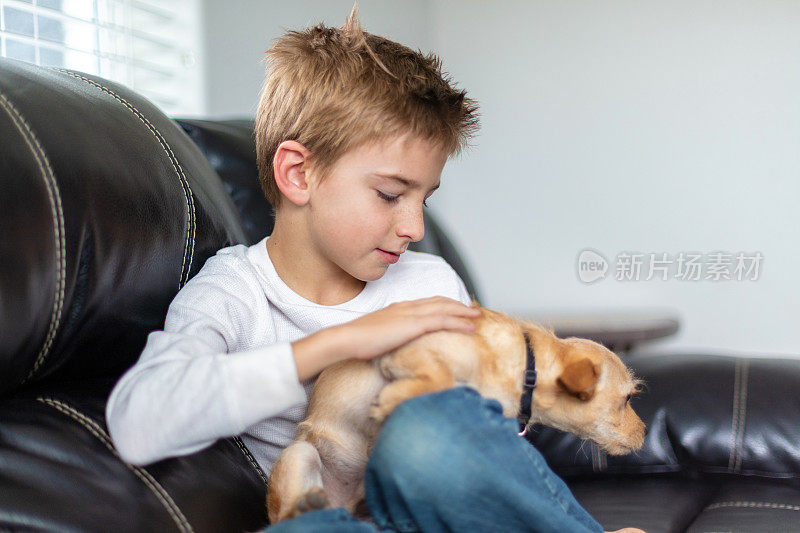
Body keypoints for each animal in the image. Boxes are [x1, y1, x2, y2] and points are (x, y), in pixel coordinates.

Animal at [268, 306, 644, 520]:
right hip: (300, 455)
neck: (524, 366)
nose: (643, 433)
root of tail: (343, 504)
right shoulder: (401, 348)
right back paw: (304, 507)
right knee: (285, 517)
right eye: (626, 399)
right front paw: (391, 398)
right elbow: (442, 376)